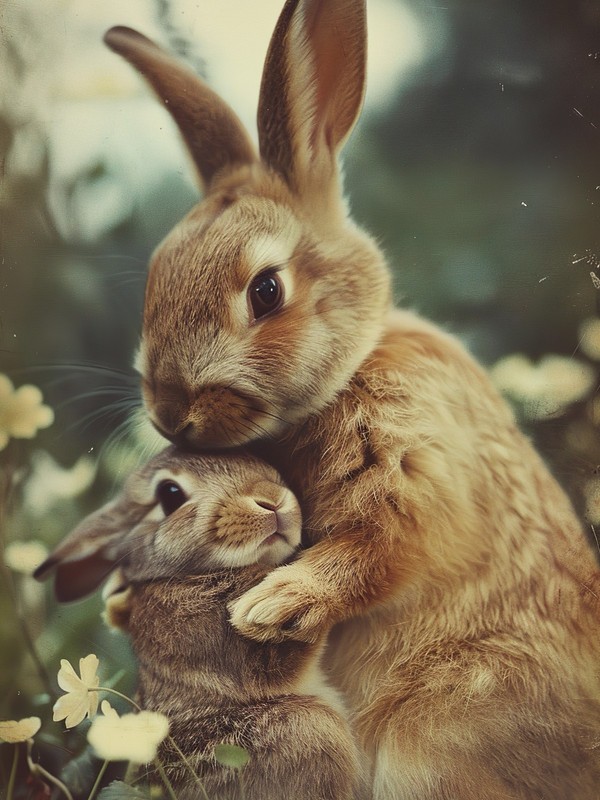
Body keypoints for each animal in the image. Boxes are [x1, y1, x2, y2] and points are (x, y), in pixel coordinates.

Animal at [100, 1, 600, 797]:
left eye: (266, 290)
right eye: (155, 279)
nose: (171, 416)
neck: (351, 367)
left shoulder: (413, 470)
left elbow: (379, 550)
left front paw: (272, 604)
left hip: (431, 734)